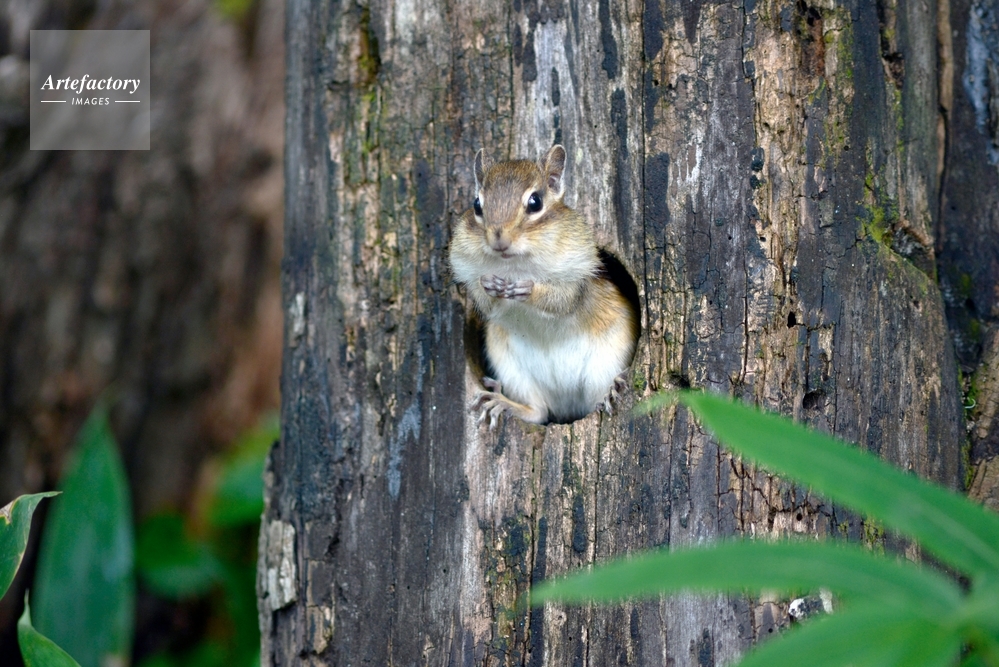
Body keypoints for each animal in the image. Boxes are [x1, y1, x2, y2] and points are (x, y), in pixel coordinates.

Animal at [449, 144, 639, 427]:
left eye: (535, 202)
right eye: (477, 205)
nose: (499, 239)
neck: (515, 266)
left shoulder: (578, 275)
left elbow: (563, 301)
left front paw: (529, 290)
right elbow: (486, 302)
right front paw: (489, 284)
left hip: (606, 362)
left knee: (595, 401)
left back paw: (610, 391)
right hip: (513, 370)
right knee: (538, 412)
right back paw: (502, 403)